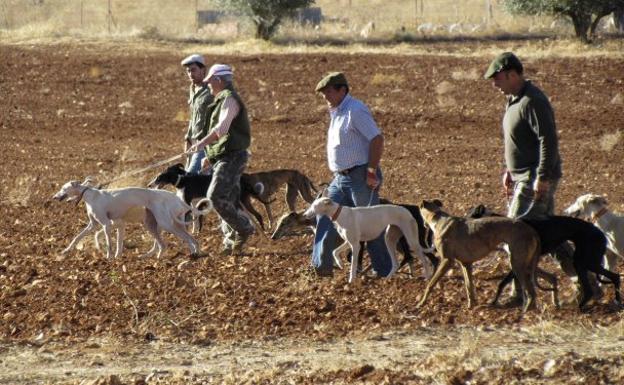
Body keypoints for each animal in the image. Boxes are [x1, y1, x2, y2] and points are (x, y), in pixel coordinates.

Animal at [304, 198, 434, 282]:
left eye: (314, 206)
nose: (304, 215)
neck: (339, 214)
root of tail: (408, 211)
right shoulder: (348, 242)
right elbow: (334, 251)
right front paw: (340, 264)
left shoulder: (356, 245)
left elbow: (353, 264)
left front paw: (351, 280)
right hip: (389, 239)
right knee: (396, 263)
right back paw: (387, 279)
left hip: (411, 240)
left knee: (424, 259)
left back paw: (427, 278)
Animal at [470, 204, 620, 308]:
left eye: (471, 215)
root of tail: (600, 233)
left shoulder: (518, 262)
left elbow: (502, 283)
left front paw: (493, 302)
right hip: (583, 261)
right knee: (609, 279)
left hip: (584, 261)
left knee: (607, 280)